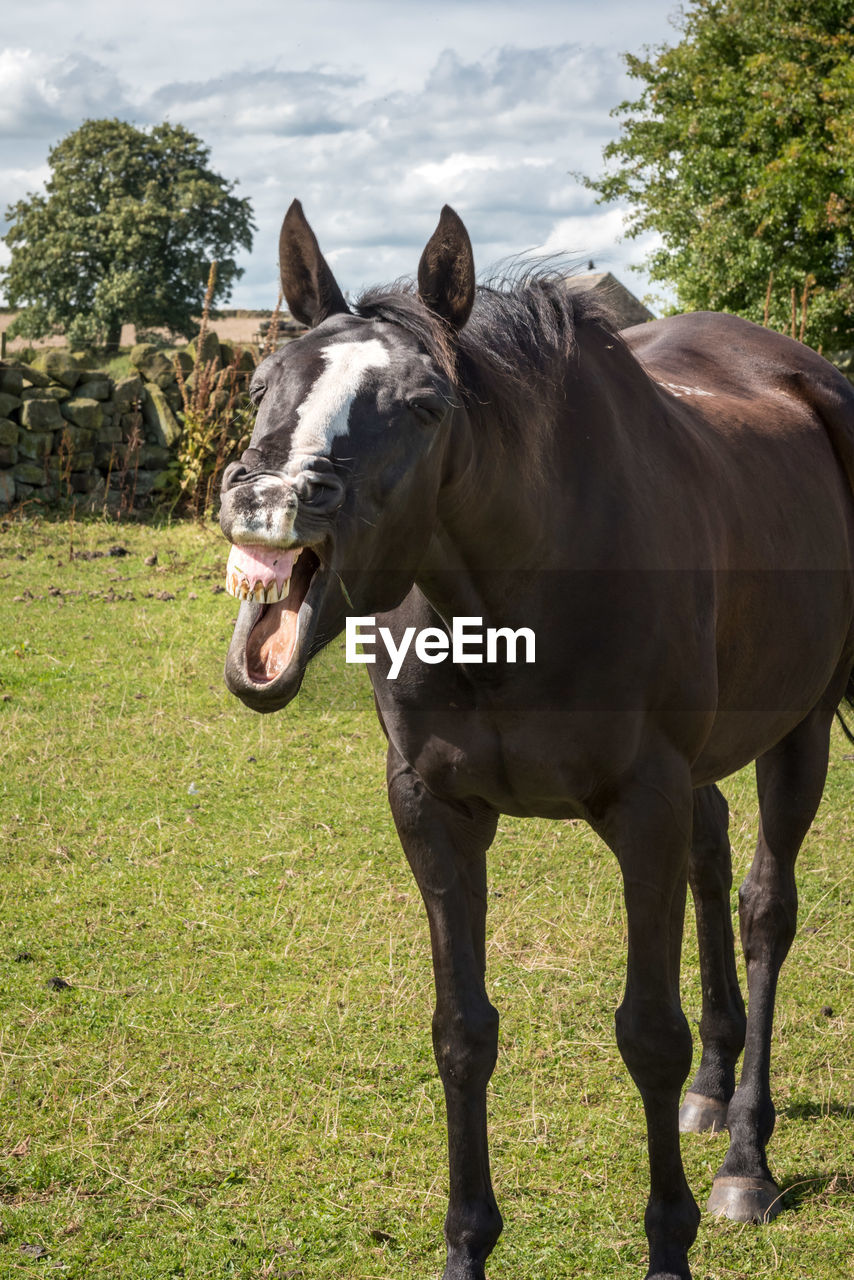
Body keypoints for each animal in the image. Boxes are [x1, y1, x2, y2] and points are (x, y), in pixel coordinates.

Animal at [218, 199, 854, 1280]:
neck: (514, 589)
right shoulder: (434, 809)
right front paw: (465, 1247)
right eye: (267, 383)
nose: (266, 501)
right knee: (712, 850)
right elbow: (461, 1032)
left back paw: (745, 1155)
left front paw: (670, 1244)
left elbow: (647, 1034)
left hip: (798, 729)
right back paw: (714, 1089)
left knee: (766, 912)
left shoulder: (641, 804)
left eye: (424, 404)